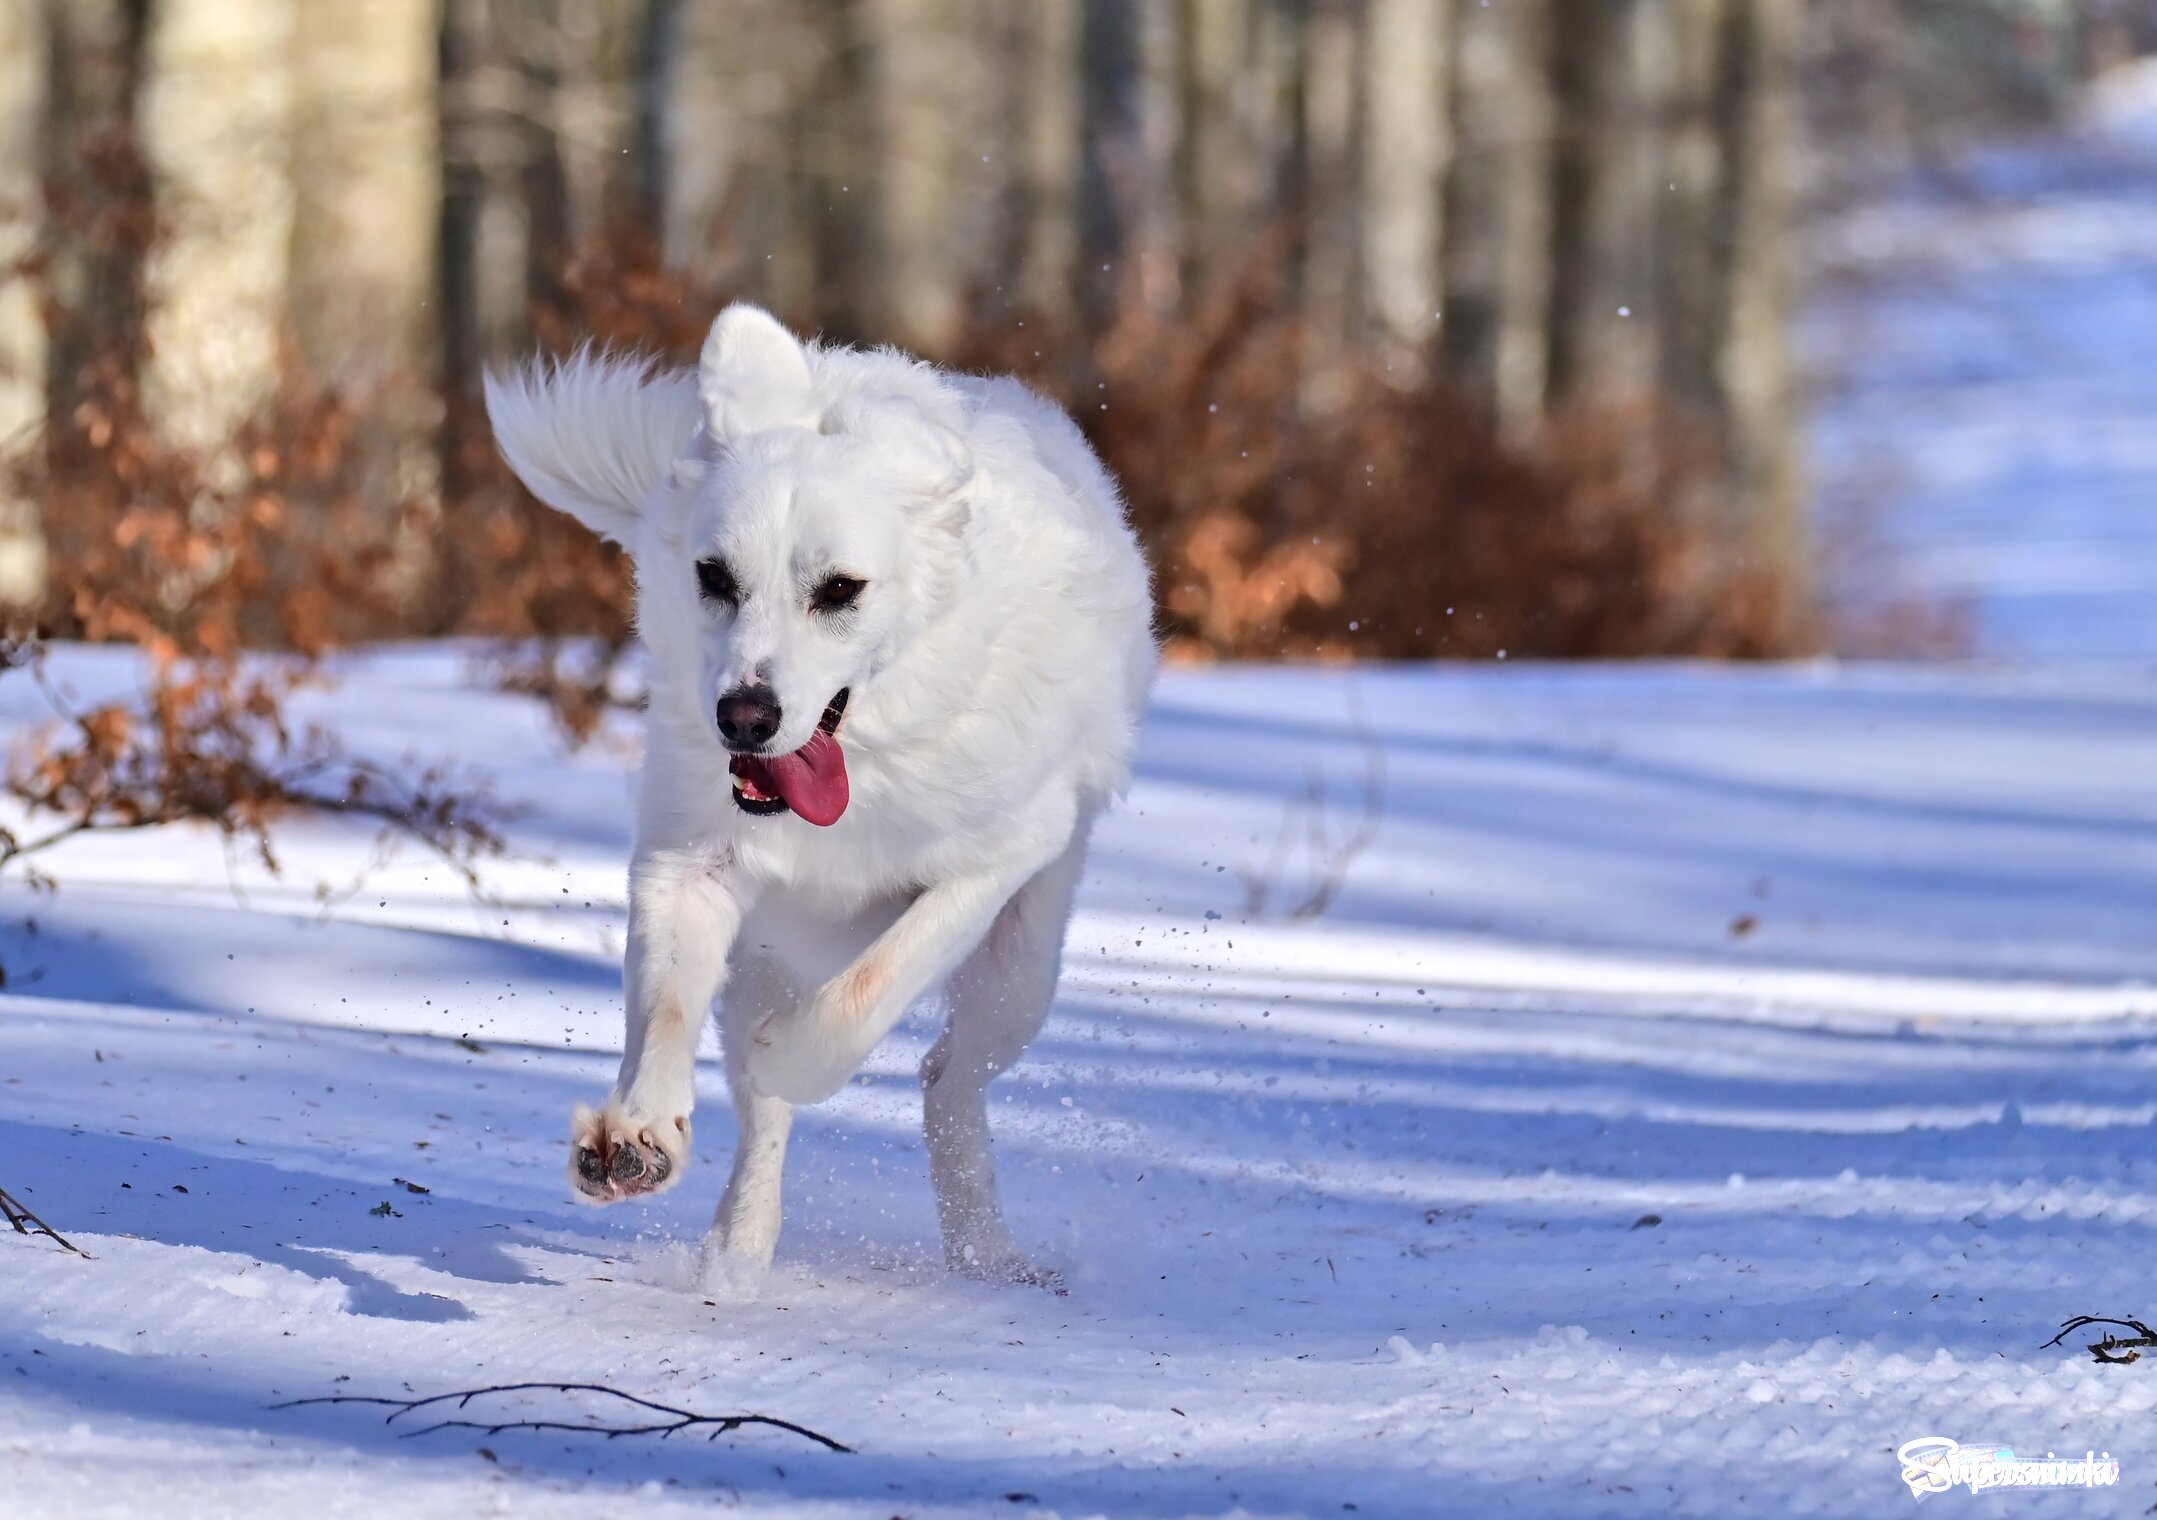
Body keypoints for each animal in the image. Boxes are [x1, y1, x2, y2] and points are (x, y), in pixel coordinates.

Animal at [487, 306, 1156, 1276]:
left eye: (840, 590)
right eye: (714, 578)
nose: (743, 718)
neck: (862, 763)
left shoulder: (996, 859)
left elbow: (863, 993)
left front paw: (789, 1056)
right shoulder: (690, 862)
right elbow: (665, 1007)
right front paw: (638, 1134)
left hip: (1019, 975)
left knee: (945, 1080)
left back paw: (989, 1259)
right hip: (769, 959)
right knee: (769, 1121)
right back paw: (736, 1256)